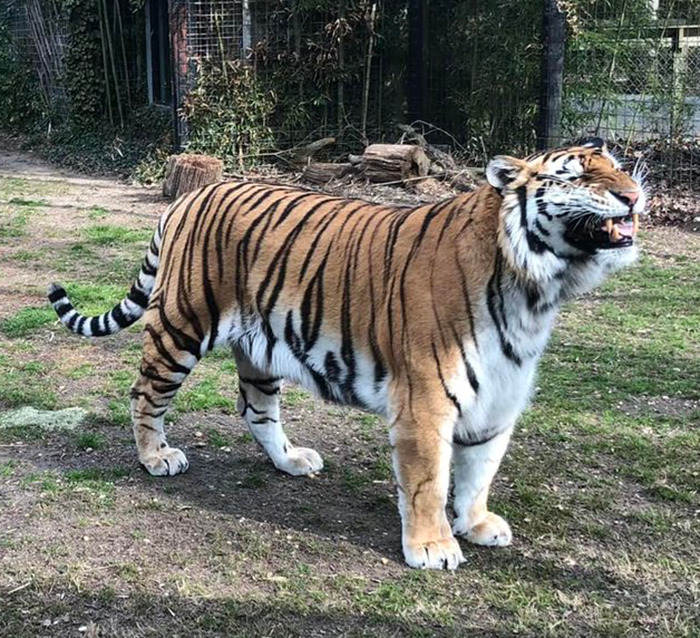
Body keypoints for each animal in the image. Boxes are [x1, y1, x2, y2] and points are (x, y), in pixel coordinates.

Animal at [47, 139, 644, 568]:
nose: (635, 197)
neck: (536, 290)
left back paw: (290, 461)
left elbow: (479, 472)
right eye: (576, 175)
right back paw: (156, 457)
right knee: (146, 393)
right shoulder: (425, 402)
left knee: (256, 408)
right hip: (181, 325)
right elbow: (428, 482)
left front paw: (475, 524)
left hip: (261, 347)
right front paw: (432, 547)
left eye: (618, 169)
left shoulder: (499, 398)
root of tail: (189, 197)